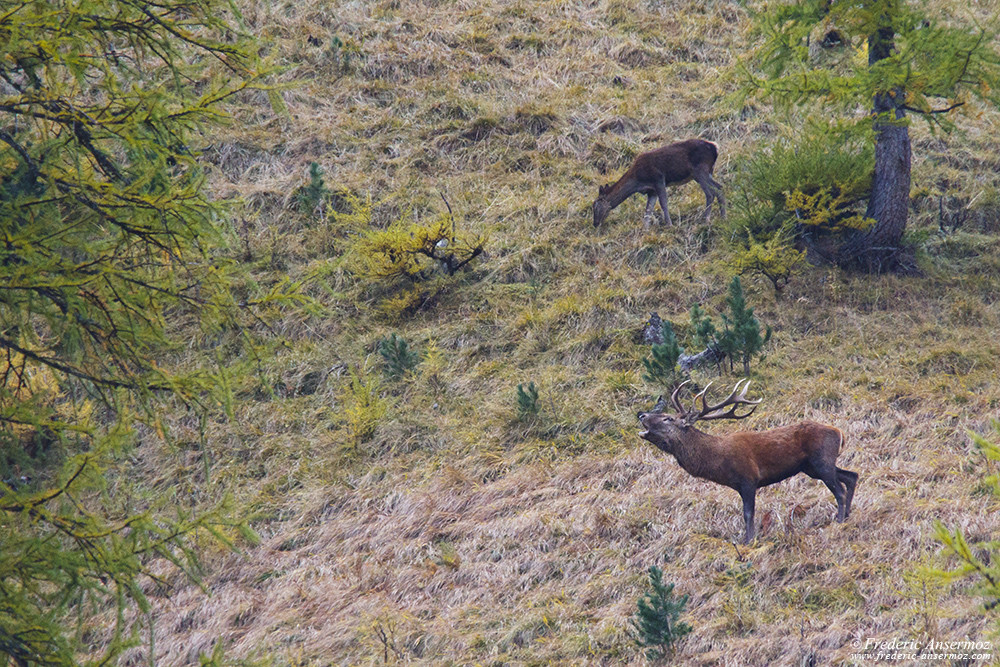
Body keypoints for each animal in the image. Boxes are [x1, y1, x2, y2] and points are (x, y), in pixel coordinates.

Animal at [592, 137, 728, 228]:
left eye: (595, 205)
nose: (595, 223)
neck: (638, 180)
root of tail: (715, 148)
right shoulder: (651, 191)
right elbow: (648, 210)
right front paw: (645, 230)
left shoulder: (658, 179)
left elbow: (663, 203)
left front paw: (669, 225)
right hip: (706, 172)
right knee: (720, 188)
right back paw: (723, 217)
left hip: (700, 170)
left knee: (710, 193)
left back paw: (705, 219)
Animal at [636, 380, 856, 544]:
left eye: (668, 418)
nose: (642, 414)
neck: (718, 462)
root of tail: (840, 433)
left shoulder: (748, 479)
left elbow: (748, 513)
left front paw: (749, 541)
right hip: (813, 467)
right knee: (852, 476)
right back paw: (847, 515)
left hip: (821, 460)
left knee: (840, 490)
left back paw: (839, 521)